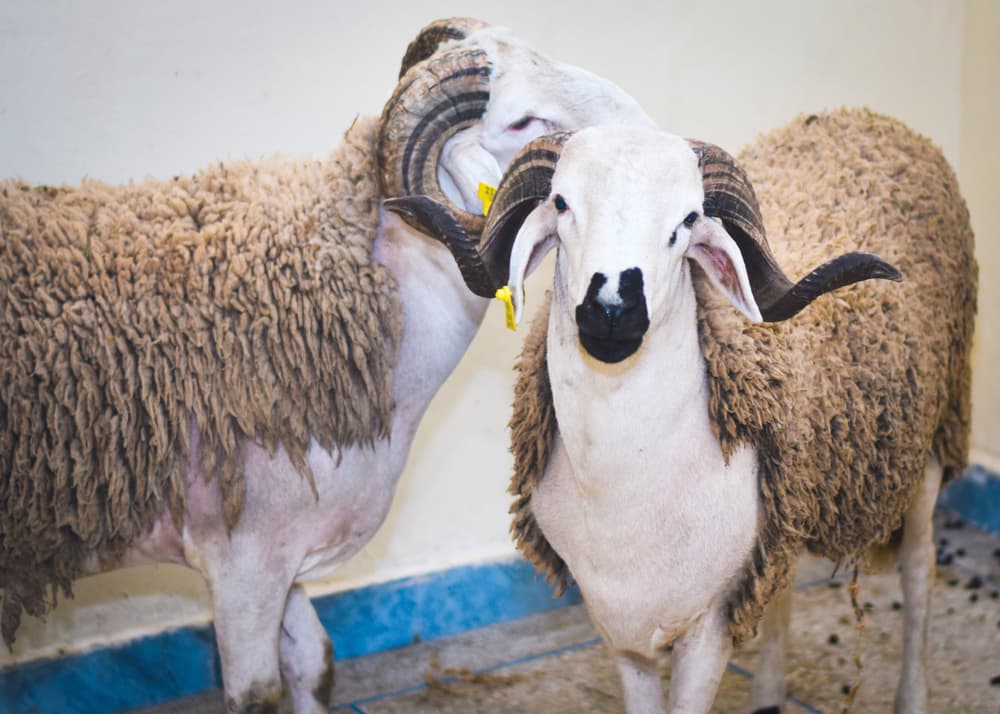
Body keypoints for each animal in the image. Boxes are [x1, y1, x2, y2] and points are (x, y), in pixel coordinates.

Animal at [424, 109, 976, 712]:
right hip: (789, 498)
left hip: (930, 446)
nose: (611, 309)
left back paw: (913, 692)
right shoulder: (623, 636)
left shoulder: (708, 631)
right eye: (562, 203)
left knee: (919, 574)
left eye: (688, 220)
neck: (625, 490)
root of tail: (868, 118)